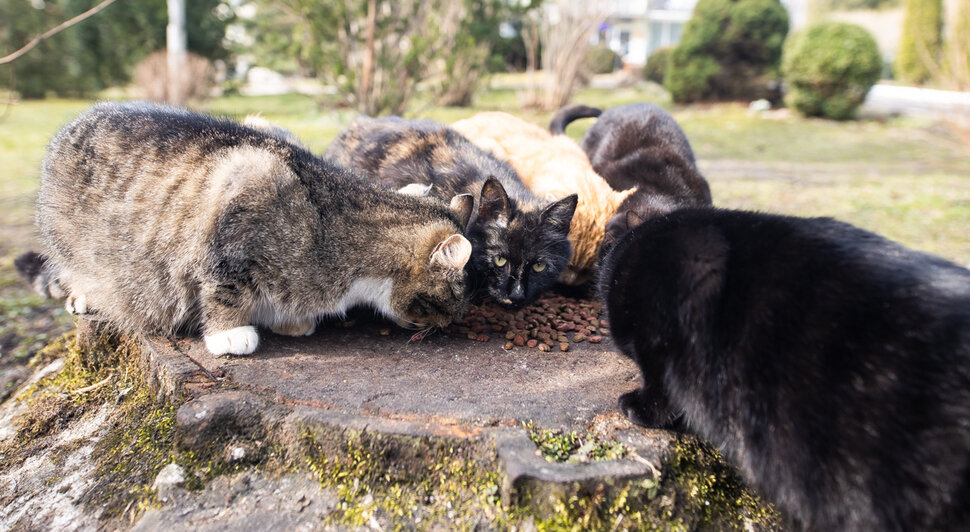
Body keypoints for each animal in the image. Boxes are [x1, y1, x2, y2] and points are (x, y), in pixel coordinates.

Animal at [26, 102, 472, 356]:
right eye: (455, 296)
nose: (450, 324)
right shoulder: (241, 204)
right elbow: (224, 290)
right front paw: (229, 334)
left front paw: (289, 321)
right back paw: (84, 295)